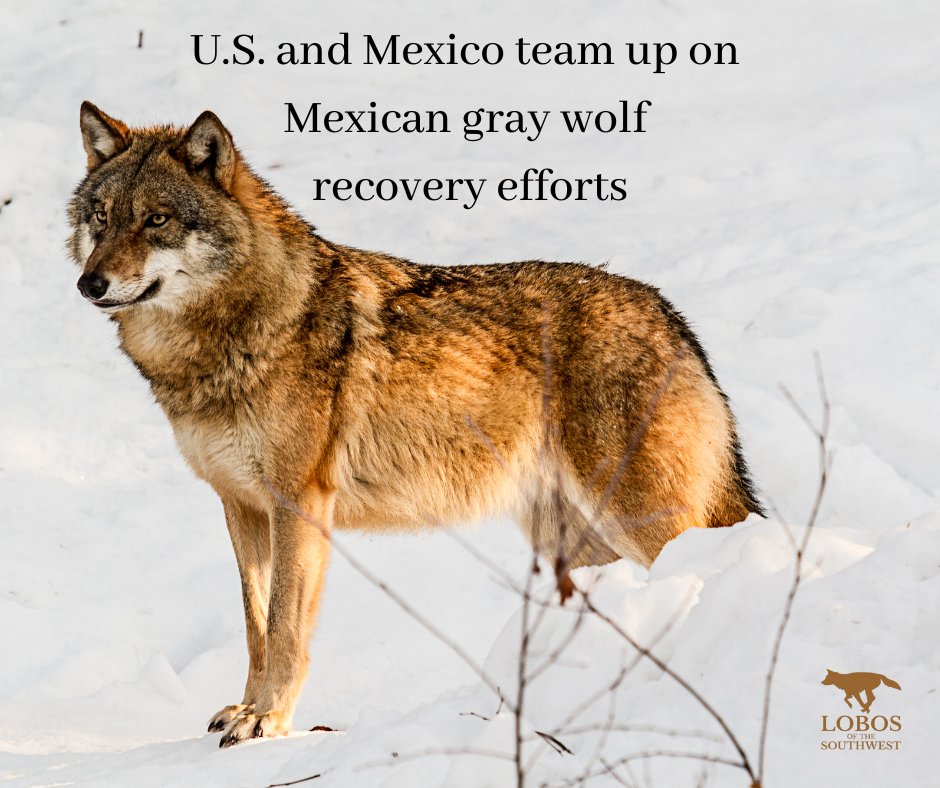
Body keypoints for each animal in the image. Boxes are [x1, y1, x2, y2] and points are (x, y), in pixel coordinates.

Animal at [68, 102, 763, 746]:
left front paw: (269, 722)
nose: (88, 283)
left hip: (640, 521)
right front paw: (247, 710)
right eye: (102, 217)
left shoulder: (299, 502)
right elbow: (255, 625)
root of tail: (672, 316)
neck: (233, 336)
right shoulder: (240, 504)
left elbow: (286, 627)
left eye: (156, 219)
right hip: (570, 542)